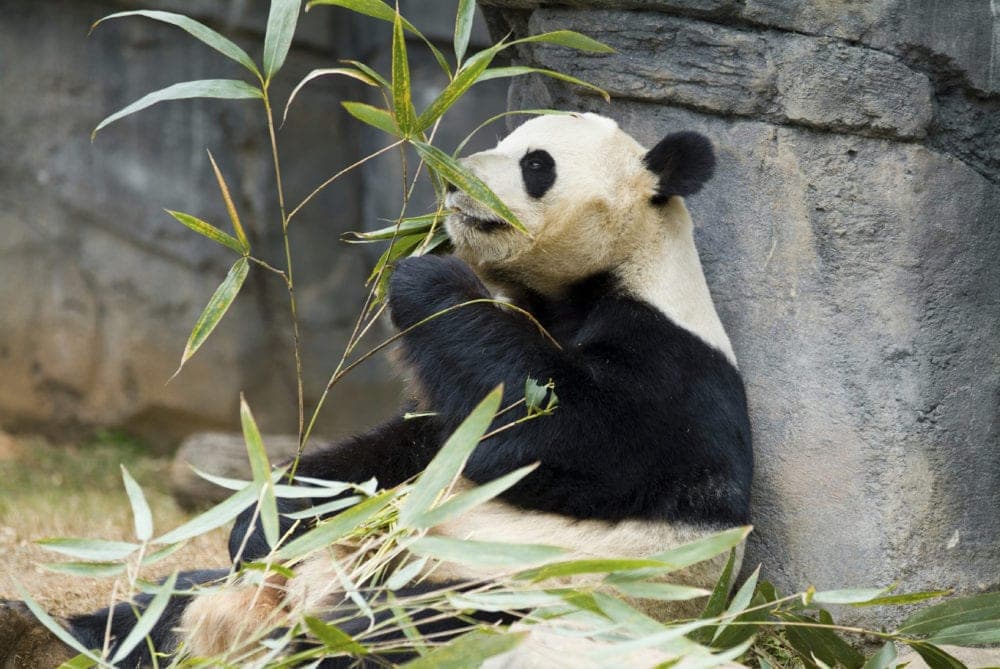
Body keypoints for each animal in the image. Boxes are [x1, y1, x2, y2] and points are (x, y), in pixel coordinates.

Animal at [4, 112, 752, 667]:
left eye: (536, 164)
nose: (452, 179)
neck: (584, 284)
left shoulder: (675, 367)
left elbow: (563, 433)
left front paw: (426, 275)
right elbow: (411, 443)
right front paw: (261, 516)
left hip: (507, 593)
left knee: (389, 635)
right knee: (160, 605)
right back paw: (41, 635)